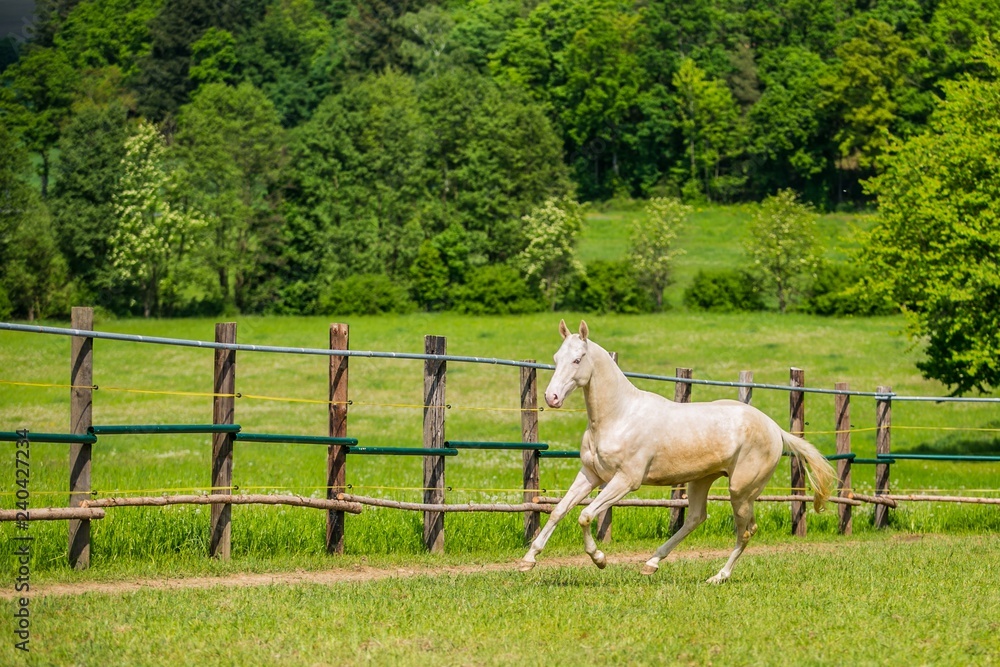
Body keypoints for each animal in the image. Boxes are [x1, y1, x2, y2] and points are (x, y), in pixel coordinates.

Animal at [519, 320, 837, 583]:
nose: (552, 397)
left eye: (577, 359)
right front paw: (527, 560)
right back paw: (651, 564)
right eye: (556, 358)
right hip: (701, 480)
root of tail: (775, 429)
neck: (619, 415)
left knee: (746, 531)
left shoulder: (626, 481)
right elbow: (559, 510)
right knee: (696, 518)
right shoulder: (591, 474)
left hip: (741, 490)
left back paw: (718, 577)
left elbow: (585, 515)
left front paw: (599, 559)